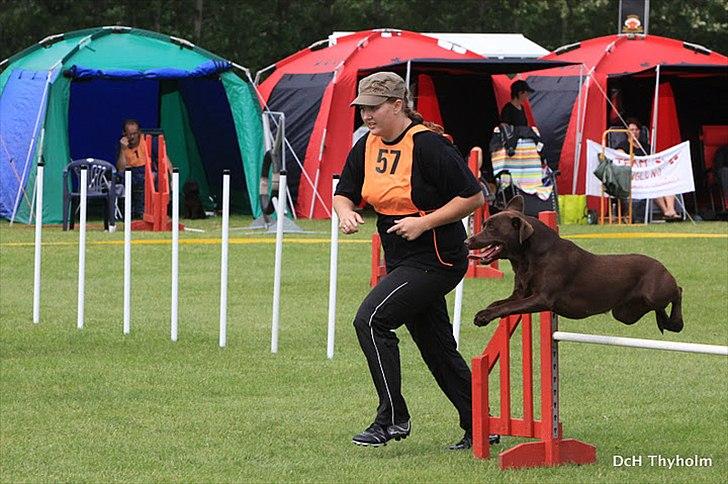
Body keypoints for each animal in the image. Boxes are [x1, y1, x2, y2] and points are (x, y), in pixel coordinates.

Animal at [466, 196, 684, 332]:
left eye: (491, 228)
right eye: (484, 224)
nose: (467, 242)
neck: (527, 258)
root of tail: (663, 267)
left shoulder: (542, 298)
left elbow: (508, 307)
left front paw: (484, 317)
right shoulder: (520, 293)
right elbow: (500, 303)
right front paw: (484, 312)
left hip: (655, 293)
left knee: (678, 292)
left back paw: (676, 322)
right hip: (624, 312)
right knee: (658, 309)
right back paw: (665, 322)